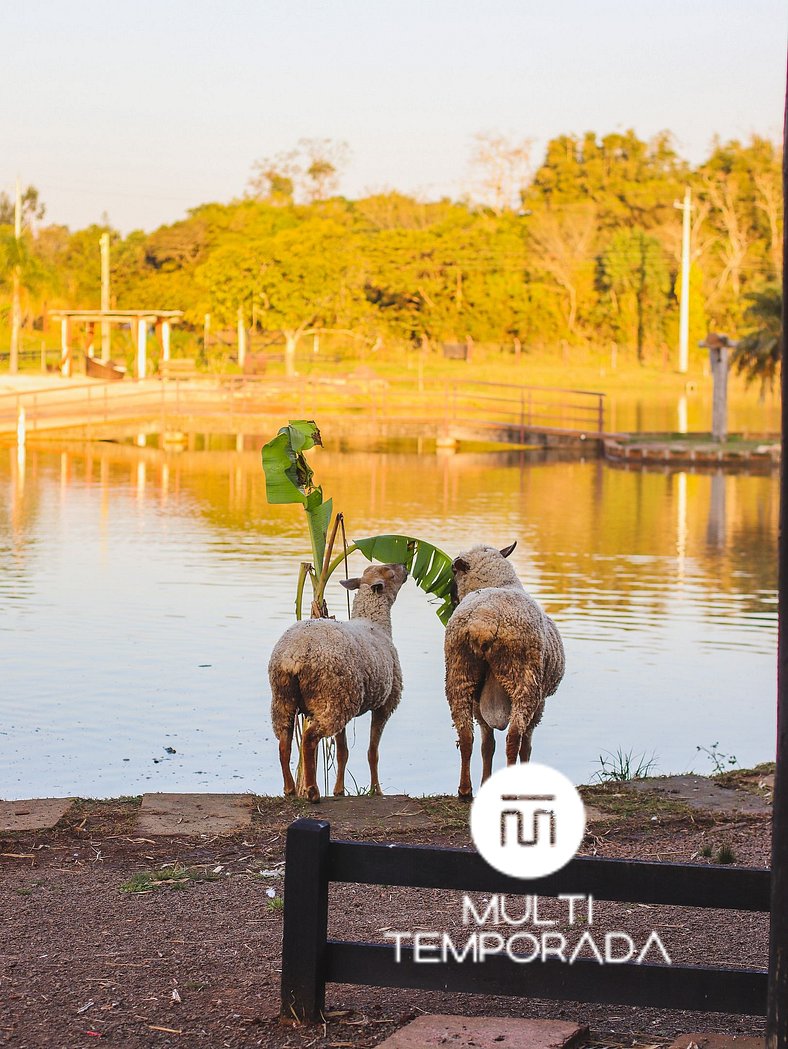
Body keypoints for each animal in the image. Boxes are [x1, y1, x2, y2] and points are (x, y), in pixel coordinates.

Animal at [270, 566, 409, 801]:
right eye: (391, 573)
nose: (406, 568)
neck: (375, 623)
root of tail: (294, 656)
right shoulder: (385, 703)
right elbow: (373, 752)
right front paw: (376, 790)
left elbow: (343, 752)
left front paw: (339, 790)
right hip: (332, 698)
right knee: (308, 739)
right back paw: (312, 791)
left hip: (286, 697)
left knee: (284, 743)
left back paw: (289, 789)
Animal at [444, 545, 566, 797]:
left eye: (452, 570)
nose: (451, 597)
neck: (501, 583)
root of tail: (484, 619)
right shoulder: (541, 703)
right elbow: (526, 746)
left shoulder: (479, 702)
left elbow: (487, 745)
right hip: (524, 678)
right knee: (514, 738)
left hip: (460, 671)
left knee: (466, 735)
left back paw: (465, 790)